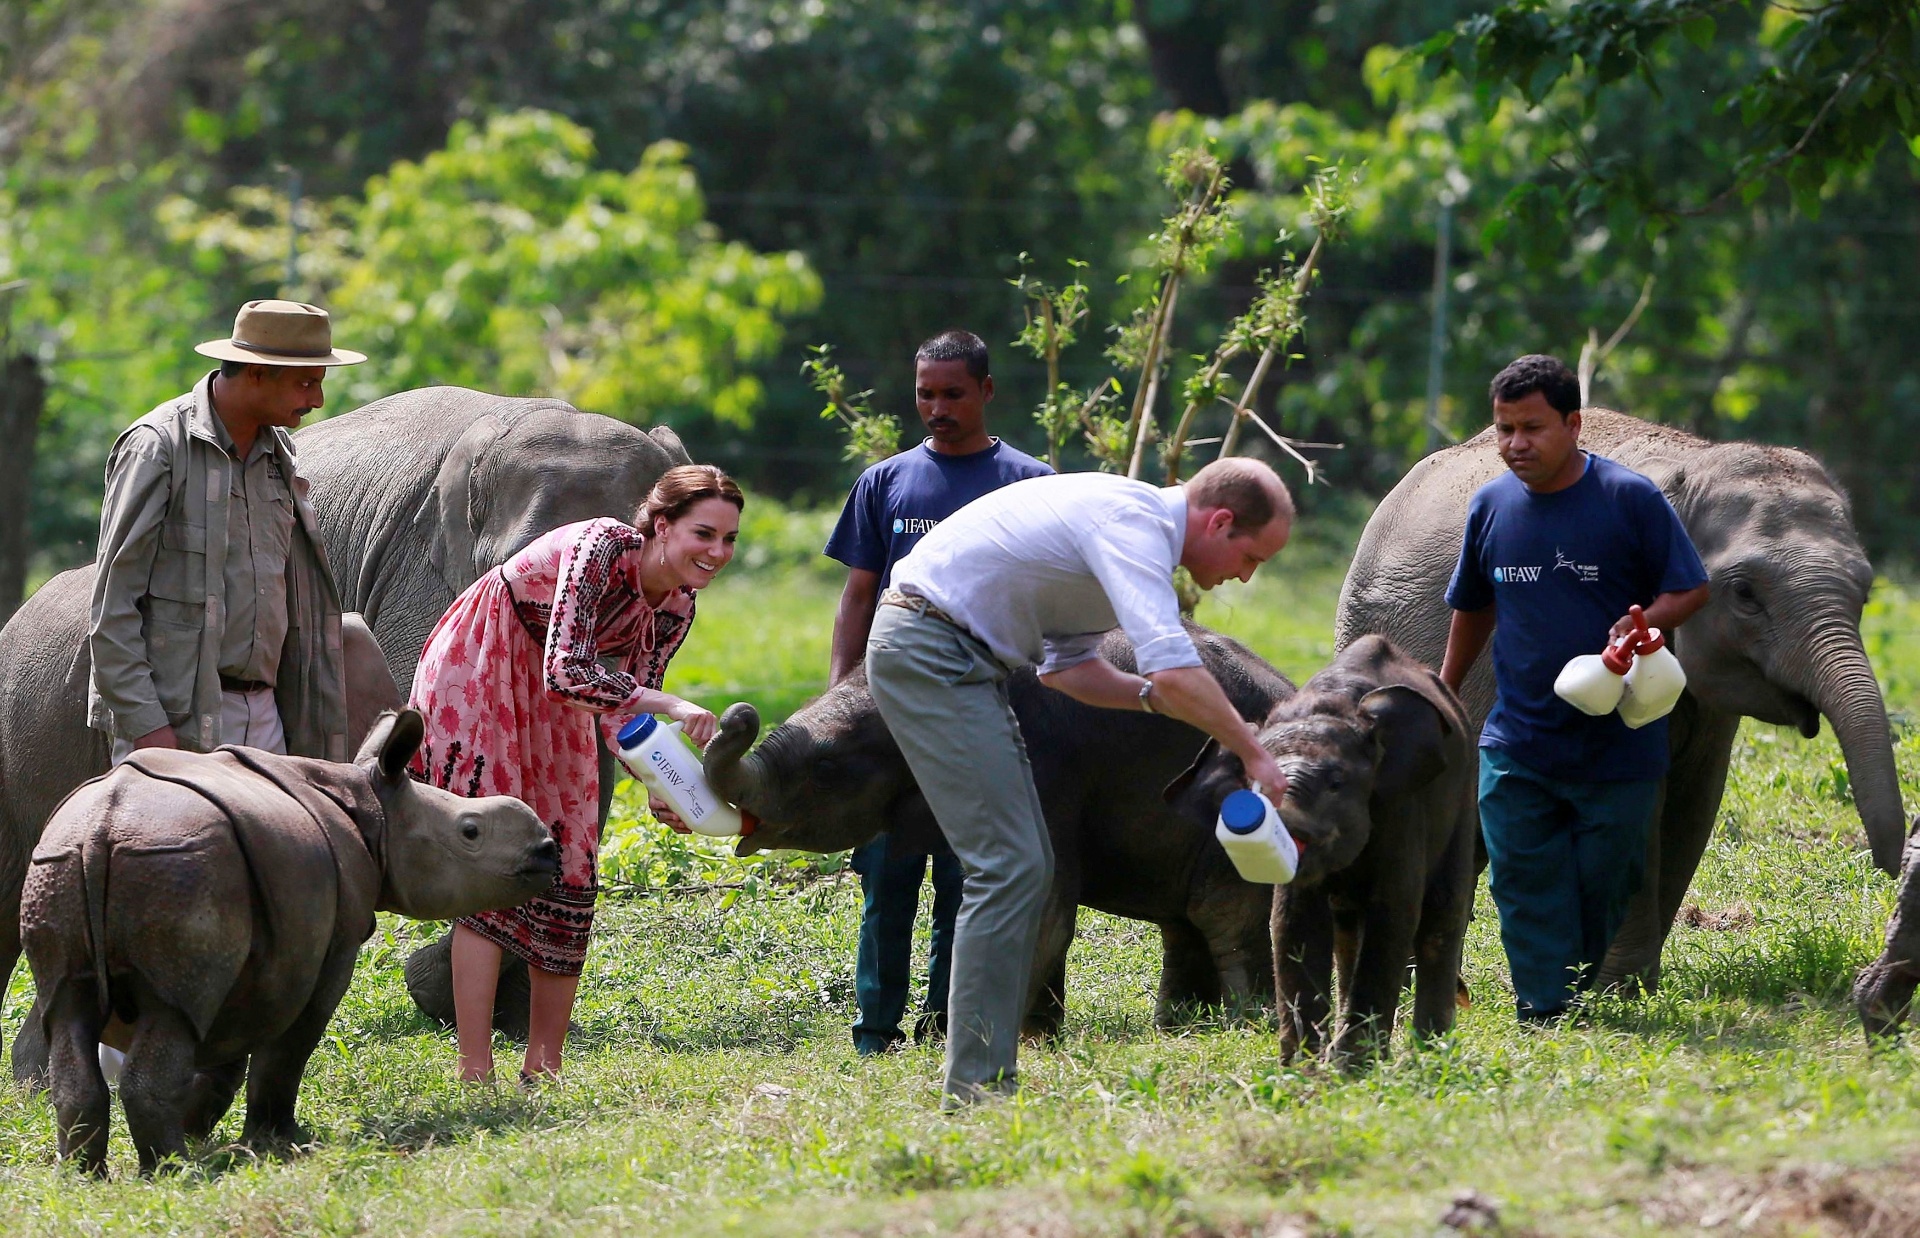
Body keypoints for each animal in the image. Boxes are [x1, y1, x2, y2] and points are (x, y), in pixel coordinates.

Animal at [22, 710, 557, 1174]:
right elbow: (290, 1046)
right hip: (177, 863)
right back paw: (172, 1172)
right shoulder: (331, 946)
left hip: (65, 863)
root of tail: (102, 830)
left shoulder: (256, 957)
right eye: (470, 832)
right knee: (171, 1013)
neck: (376, 809)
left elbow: (232, 1046)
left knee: (68, 1007)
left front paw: (204, 1128)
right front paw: (281, 1142)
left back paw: (88, 1176)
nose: (548, 851)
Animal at [1163, 635, 1476, 1069]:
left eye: (1336, 783)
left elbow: (1393, 913)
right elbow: (1293, 921)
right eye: (1254, 786)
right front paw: (1304, 1069)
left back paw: (1430, 1053)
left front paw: (1353, 1069)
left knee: (1441, 914)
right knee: (1347, 930)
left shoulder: (1400, 806)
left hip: (1463, 795)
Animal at [1337, 408, 1905, 993]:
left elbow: (1694, 801)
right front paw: (1619, 990)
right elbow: (1639, 805)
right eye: (1745, 593)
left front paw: (1629, 987)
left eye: (1866, 591)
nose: (1890, 867)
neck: (1692, 460)